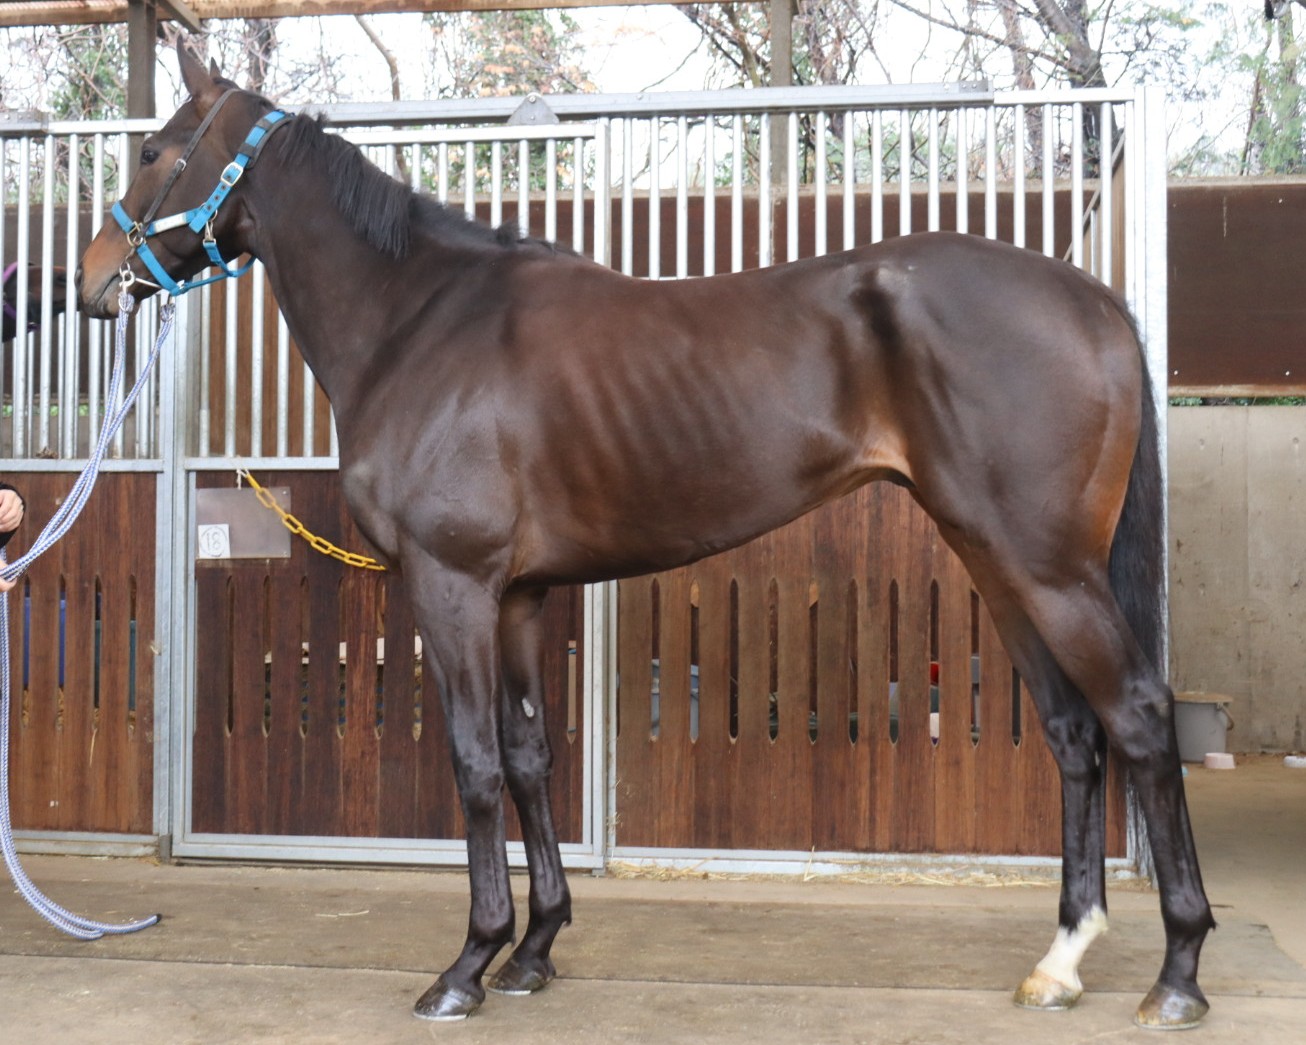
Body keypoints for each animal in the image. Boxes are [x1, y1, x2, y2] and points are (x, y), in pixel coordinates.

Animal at [77, 44, 1214, 1030]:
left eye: (154, 150)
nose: (90, 281)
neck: (421, 322)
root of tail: (1093, 299)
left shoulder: (452, 585)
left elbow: (474, 762)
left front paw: (467, 963)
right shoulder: (519, 596)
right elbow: (531, 755)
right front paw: (534, 948)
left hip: (1049, 569)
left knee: (1139, 717)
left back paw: (1177, 973)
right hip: (997, 561)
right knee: (1073, 734)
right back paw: (1060, 960)